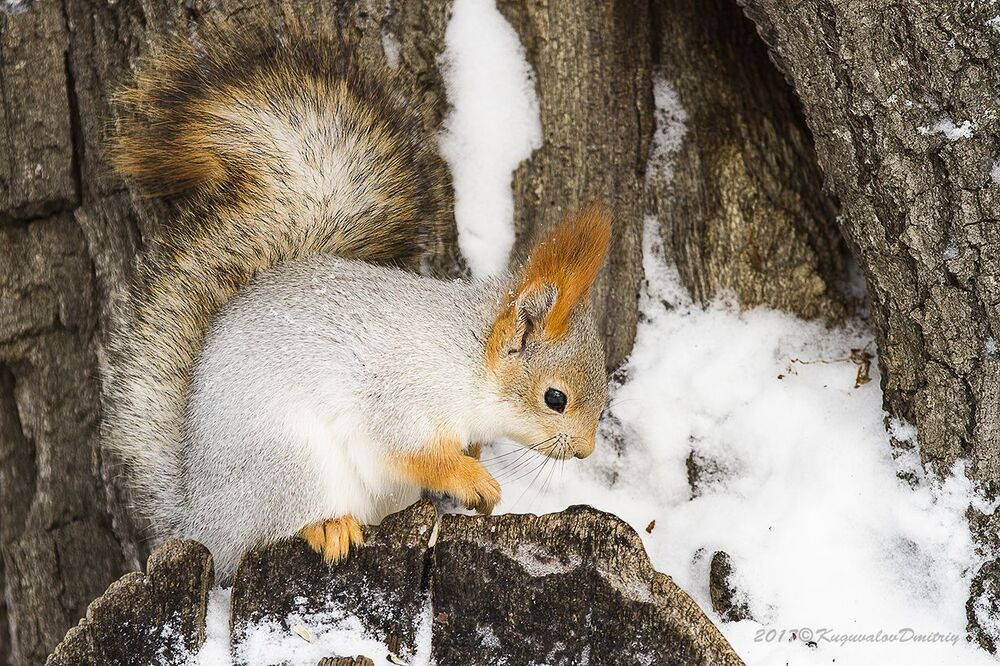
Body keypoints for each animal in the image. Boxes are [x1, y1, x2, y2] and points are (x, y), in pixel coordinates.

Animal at [103, 22, 611, 580]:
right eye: (555, 399)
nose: (585, 450)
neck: (467, 357)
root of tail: (200, 514)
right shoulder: (401, 397)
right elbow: (414, 453)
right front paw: (472, 479)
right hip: (288, 465)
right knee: (273, 526)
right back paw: (328, 526)